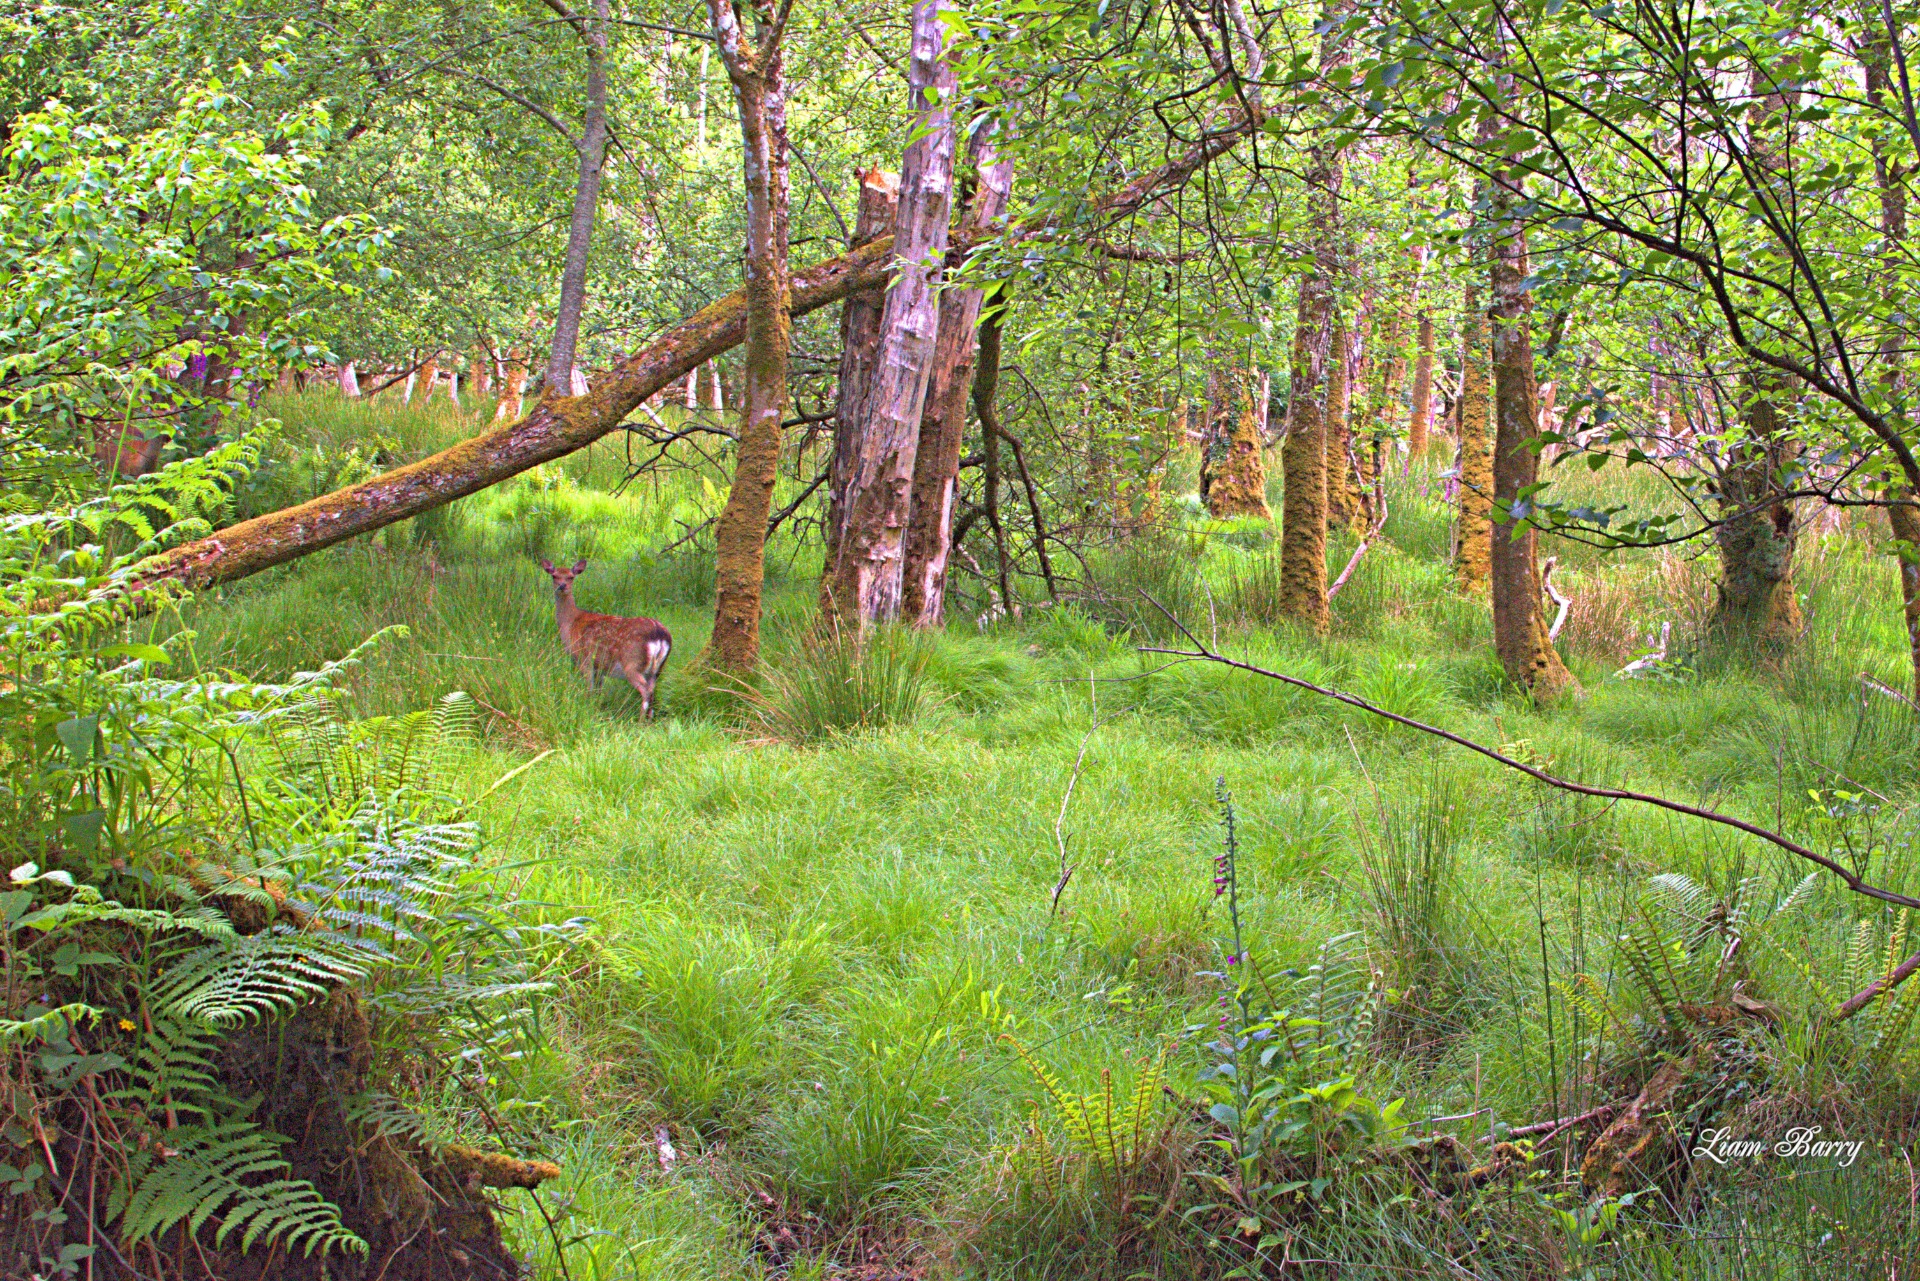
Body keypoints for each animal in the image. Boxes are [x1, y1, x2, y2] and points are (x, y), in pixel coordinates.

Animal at [539, 558, 673, 717]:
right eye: (554, 576)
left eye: (571, 577)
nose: (562, 586)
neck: (570, 623)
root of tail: (661, 635)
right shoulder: (599, 667)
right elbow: (598, 691)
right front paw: (596, 708)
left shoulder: (584, 659)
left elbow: (589, 690)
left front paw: (587, 708)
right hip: (657, 670)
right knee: (652, 691)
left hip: (632, 663)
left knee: (646, 691)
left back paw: (640, 720)